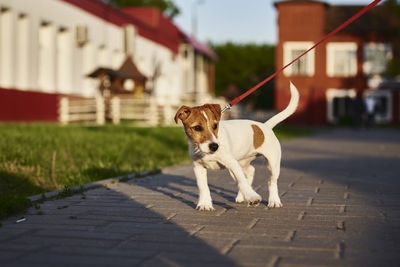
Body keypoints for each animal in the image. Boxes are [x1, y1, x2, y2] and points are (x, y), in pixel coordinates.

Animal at [173, 81, 298, 211]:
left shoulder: (231, 163)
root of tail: (265, 126)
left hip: (272, 164)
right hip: (240, 163)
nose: (214, 146)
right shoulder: (198, 167)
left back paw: (273, 201)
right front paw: (205, 204)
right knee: (250, 171)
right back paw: (242, 196)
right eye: (197, 128)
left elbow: (242, 181)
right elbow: (203, 187)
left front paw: (253, 197)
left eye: (215, 126)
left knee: (271, 182)